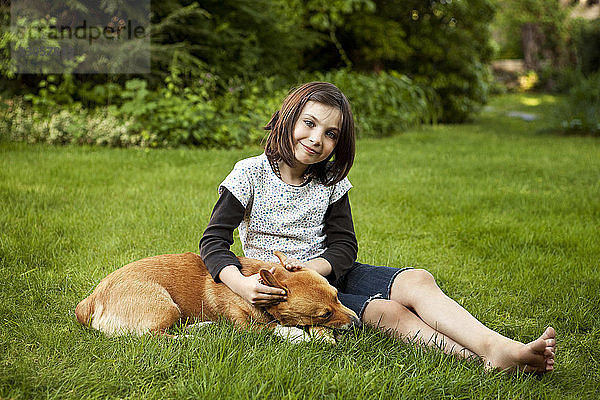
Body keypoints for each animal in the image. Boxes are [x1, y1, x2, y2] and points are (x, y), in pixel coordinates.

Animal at [73, 250, 358, 340]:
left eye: (337, 296)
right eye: (324, 313)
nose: (356, 322)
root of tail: (91, 300)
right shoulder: (245, 328)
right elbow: (277, 328)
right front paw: (300, 335)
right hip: (167, 307)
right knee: (152, 336)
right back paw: (191, 337)